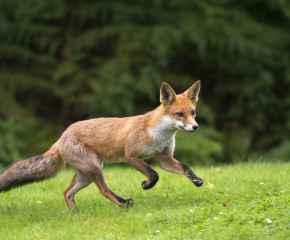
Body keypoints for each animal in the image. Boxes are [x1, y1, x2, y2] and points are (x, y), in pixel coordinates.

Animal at [0, 81, 204, 211]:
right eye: (179, 114)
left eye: (193, 112)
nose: (195, 127)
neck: (159, 134)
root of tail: (60, 139)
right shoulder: (131, 155)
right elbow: (154, 175)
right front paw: (146, 185)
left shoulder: (165, 158)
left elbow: (185, 167)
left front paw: (196, 180)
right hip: (95, 168)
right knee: (103, 190)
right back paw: (123, 203)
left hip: (85, 175)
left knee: (67, 192)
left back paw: (76, 214)